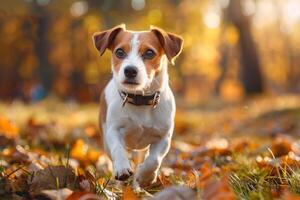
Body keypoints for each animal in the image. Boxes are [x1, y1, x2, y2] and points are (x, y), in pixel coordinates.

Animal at [93, 24, 183, 187]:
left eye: (149, 53)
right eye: (119, 52)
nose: (130, 70)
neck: (139, 100)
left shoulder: (163, 137)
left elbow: (154, 160)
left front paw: (145, 176)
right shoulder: (113, 131)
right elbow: (118, 149)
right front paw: (122, 167)